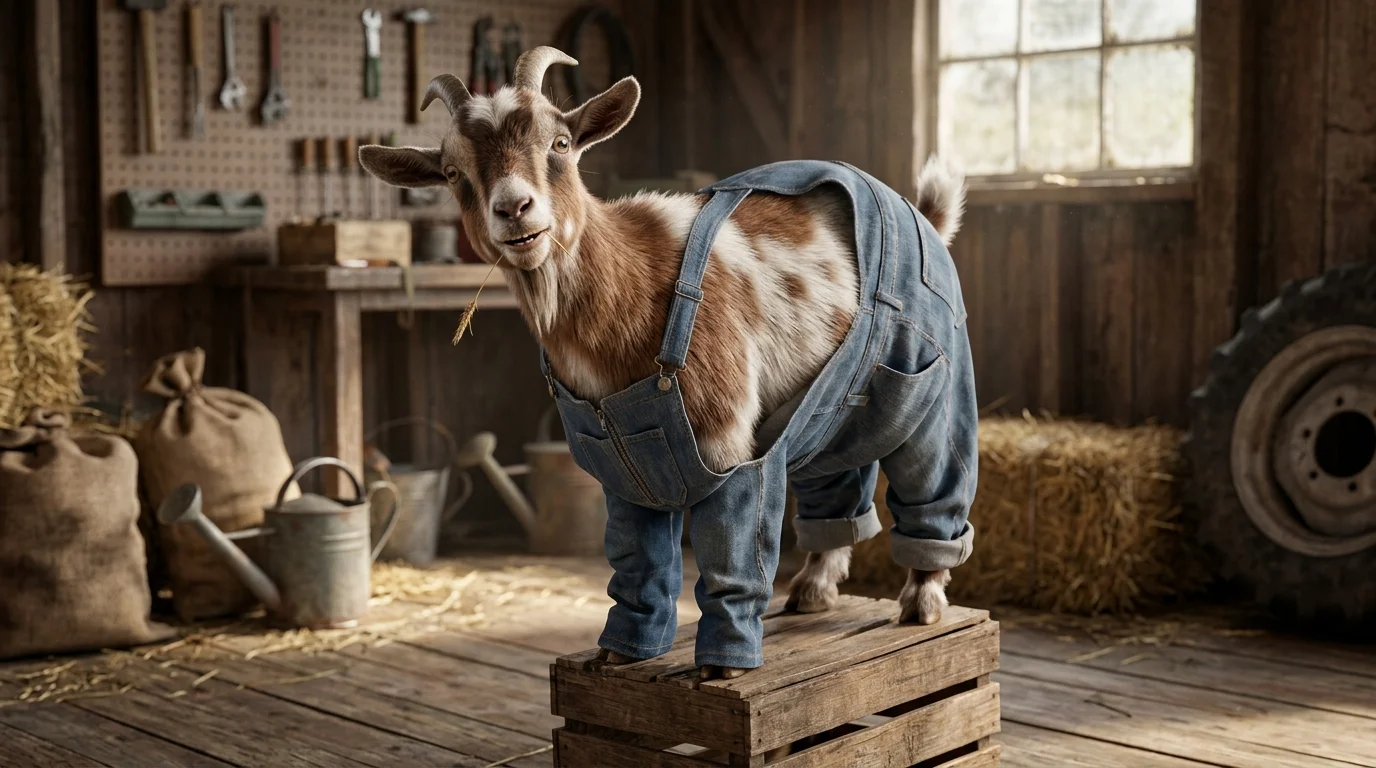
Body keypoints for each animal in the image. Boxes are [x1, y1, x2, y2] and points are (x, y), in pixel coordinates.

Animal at [360, 47, 977, 681]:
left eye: (560, 142)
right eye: (452, 172)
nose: (514, 209)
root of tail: (920, 213)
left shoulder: (728, 444)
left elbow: (729, 561)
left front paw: (725, 667)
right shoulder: (620, 472)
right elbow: (637, 568)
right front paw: (616, 655)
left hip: (933, 383)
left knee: (935, 480)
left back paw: (922, 601)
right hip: (829, 409)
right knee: (838, 479)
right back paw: (811, 591)